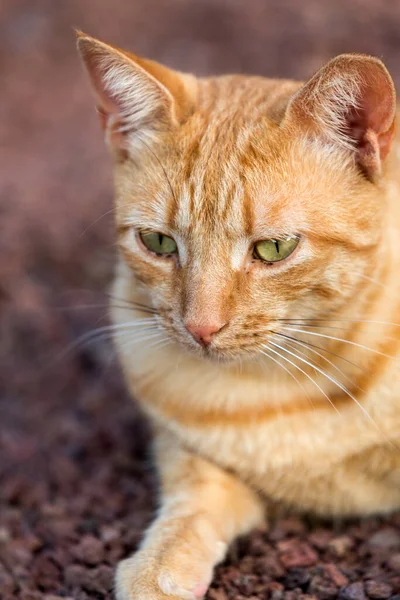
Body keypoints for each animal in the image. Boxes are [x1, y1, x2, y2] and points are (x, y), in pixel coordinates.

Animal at [76, 34, 398, 600]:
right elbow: (192, 501)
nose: (200, 328)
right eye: (158, 242)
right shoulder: (190, 451)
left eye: (274, 248)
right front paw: (159, 565)